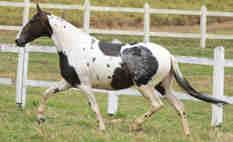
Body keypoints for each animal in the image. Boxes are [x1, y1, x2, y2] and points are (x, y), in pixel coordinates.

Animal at [15, 4, 228, 135]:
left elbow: (94, 106)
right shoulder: (68, 82)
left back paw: (135, 125)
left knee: (157, 105)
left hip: (145, 86)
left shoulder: (84, 85)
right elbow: (46, 93)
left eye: (32, 21)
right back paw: (187, 134)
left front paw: (101, 129)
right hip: (164, 87)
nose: (18, 41)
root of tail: (168, 55)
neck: (74, 46)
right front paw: (40, 118)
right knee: (180, 107)